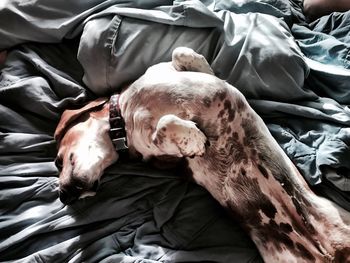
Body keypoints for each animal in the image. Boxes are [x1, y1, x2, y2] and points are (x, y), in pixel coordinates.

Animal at [54, 47, 350, 263]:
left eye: (57, 160)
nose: (64, 196)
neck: (125, 114)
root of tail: (329, 253)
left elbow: (182, 53)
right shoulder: (159, 151)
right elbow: (166, 126)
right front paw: (195, 140)